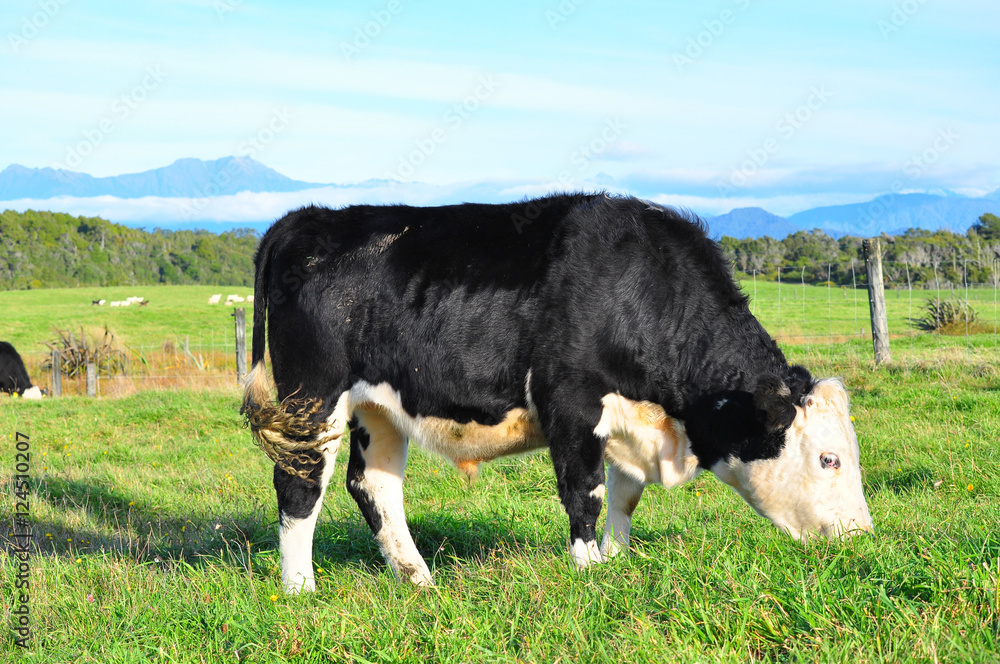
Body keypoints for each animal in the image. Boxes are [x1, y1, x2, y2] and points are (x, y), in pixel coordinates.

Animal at [244, 192, 876, 592]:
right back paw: (300, 589)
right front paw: (590, 571)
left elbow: (624, 495)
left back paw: (418, 578)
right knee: (300, 484)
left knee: (372, 485)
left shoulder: (629, 419)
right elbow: (585, 493)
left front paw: (618, 561)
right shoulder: (572, 404)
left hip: (378, 409)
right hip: (312, 398)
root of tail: (305, 220)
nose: (862, 535)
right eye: (829, 458)